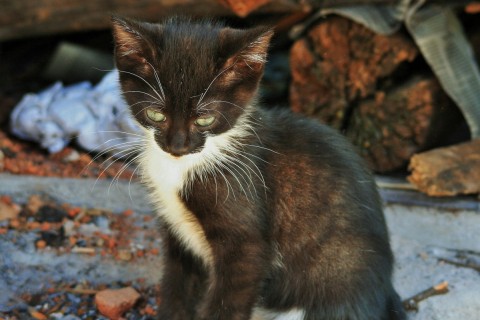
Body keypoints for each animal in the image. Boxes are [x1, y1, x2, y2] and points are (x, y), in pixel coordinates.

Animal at [111, 16, 404, 320]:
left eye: (205, 120)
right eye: (156, 114)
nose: (177, 146)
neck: (181, 167)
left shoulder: (246, 244)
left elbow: (229, 300)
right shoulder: (177, 233)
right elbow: (178, 288)